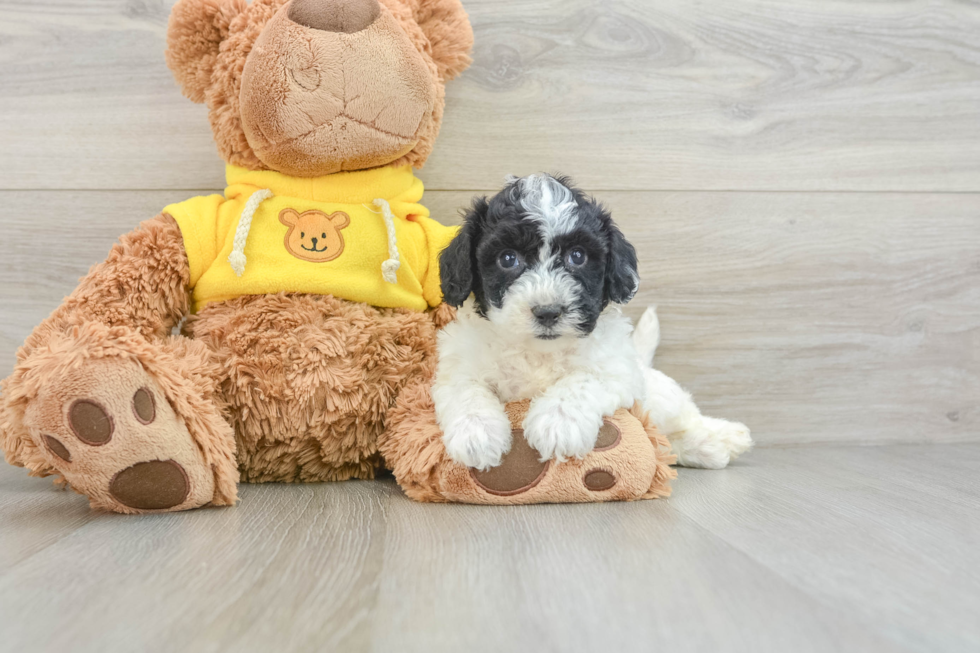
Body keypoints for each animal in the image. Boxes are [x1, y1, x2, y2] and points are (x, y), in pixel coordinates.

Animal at [434, 173, 752, 468]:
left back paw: (723, 438)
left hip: (658, 393)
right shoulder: (458, 365)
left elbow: (582, 379)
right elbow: (466, 389)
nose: (548, 311)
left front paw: (557, 422)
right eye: (507, 259)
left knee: (681, 418)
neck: (539, 354)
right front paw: (476, 434)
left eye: (578, 256)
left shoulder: (617, 368)